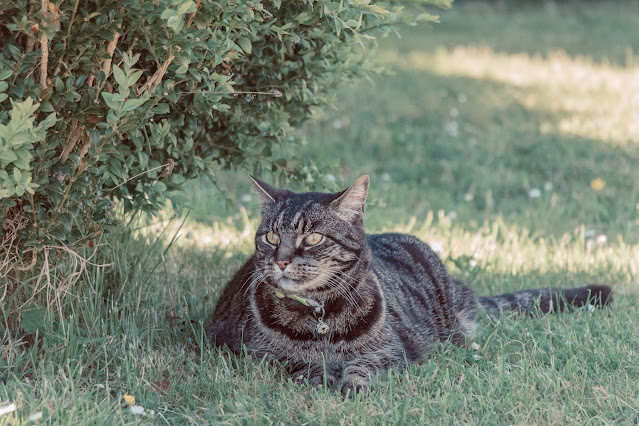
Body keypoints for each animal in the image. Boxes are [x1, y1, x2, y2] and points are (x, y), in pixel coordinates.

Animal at [208, 175, 612, 394]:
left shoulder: (394, 351)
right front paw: (323, 375)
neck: (321, 315)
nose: (281, 260)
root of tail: (460, 290)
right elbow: (300, 365)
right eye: (271, 238)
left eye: (313, 238)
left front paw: (352, 384)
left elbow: (364, 366)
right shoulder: (255, 355)